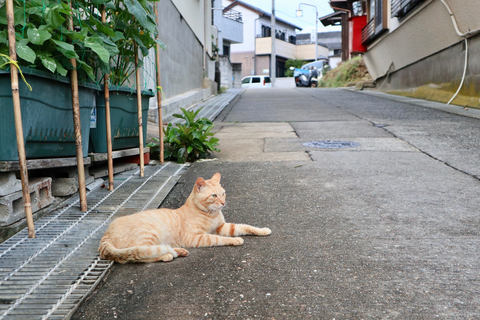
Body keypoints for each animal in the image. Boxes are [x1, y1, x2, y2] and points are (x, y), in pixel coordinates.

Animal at [98, 172, 270, 262]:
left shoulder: (223, 227)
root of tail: (106, 233)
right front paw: (235, 240)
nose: (223, 202)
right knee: (140, 255)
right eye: (214, 196)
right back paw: (168, 255)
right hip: (148, 234)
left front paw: (263, 230)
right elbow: (218, 239)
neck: (211, 214)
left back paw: (179, 251)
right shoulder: (196, 237)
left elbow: (245, 226)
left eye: (223, 193)